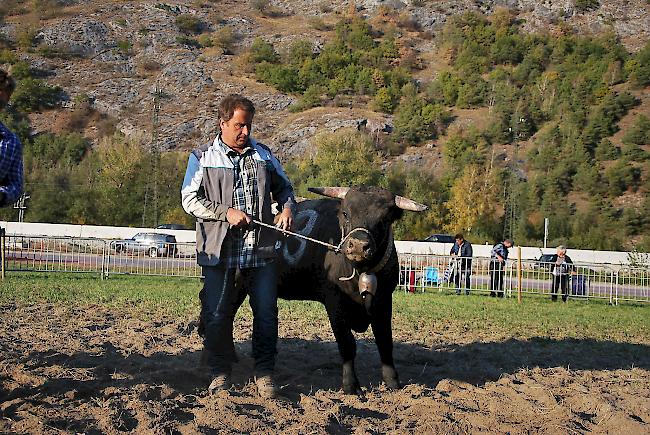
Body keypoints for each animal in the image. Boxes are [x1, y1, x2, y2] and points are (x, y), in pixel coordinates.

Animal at [200, 186, 428, 394]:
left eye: (384, 219)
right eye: (346, 213)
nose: (357, 245)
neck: (362, 272)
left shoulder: (384, 301)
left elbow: (385, 342)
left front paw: (393, 383)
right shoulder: (334, 301)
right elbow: (347, 344)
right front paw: (351, 386)